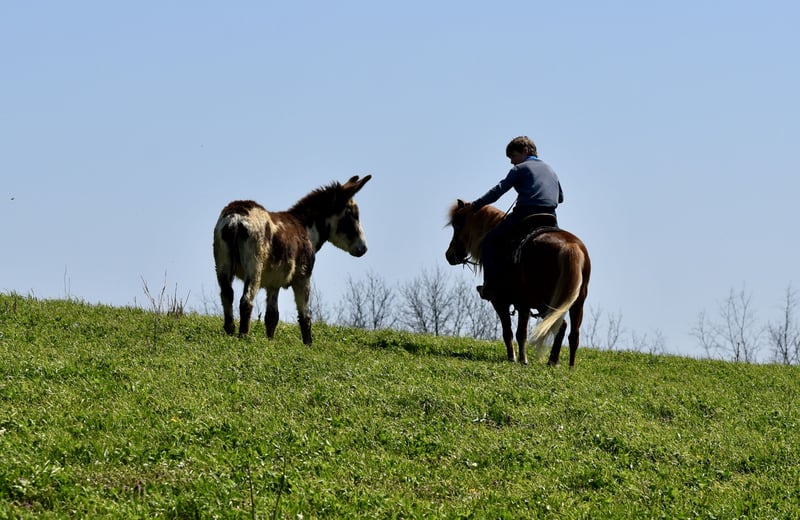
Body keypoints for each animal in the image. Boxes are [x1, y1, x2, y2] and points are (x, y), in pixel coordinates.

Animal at [213, 175, 372, 344]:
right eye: (352, 215)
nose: (364, 249)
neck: (305, 227)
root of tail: (236, 218)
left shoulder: (273, 283)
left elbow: (272, 316)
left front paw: (270, 342)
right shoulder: (302, 277)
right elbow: (305, 316)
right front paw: (308, 344)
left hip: (222, 263)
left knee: (227, 294)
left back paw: (230, 331)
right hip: (254, 265)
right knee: (246, 301)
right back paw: (243, 336)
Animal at [445, 200, 590, 366]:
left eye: (457, 225)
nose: (449, 255)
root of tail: (570, 246)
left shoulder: (501, 301)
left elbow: (510, 331)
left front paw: (515, 358)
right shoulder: (523, 305)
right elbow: (521, 332)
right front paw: (522, 359)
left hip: (545, 303)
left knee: (560, 326)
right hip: (576, 302)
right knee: (572, 333)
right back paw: (564, 364)